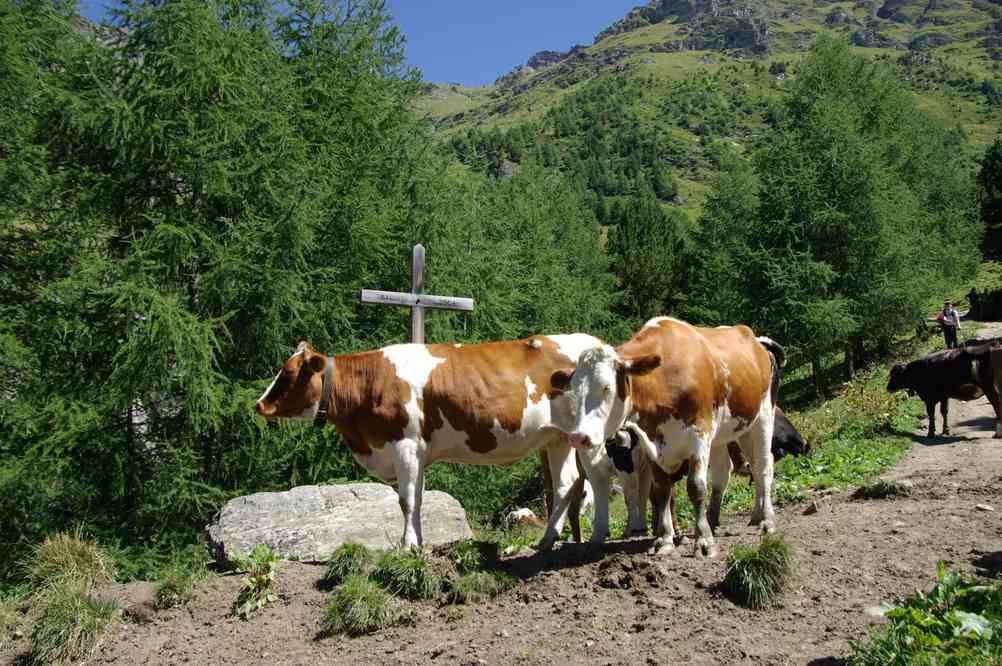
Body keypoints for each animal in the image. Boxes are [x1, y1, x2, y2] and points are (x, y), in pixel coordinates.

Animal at [255, 336, 623, 550]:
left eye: (288, 375)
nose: (259, 404)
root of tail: (598, 343)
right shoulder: (416, 453)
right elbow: (416, 499)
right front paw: (418, 544)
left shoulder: (404, 444)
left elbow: (405, 501)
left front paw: (406, 546)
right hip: (558, 438)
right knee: (565, 484)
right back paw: (548, 540)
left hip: (588, 436)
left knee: (597, 475)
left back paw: (595, 536)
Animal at [552, 317, 781, 558]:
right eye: (574, 391)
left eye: (606, 387)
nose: (578, 437)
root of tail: (757, 341)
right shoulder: (652, 442)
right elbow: (661, 490)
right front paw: (665, 539)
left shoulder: (700, 434)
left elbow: (696, 487)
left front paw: (704, 541)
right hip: (733, 429)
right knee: (730, 470)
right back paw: (737, 517)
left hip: (764, 415)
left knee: (764, 466)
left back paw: (766, 520)